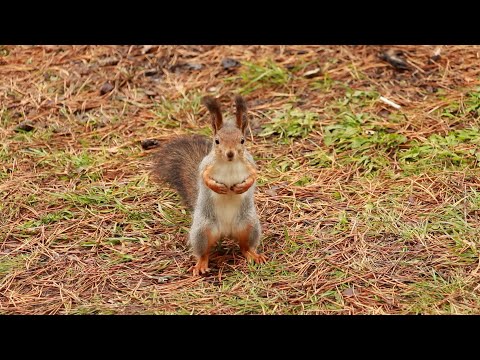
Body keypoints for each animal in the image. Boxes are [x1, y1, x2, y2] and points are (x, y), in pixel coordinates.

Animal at [154, 94, 266, 274]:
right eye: (217, 141)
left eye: (242, 140)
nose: (230, 153)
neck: (229, 164)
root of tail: (226, 232)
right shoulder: (205, 166)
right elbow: (204, 178)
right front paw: (218, 188)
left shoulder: (250, 164)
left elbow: (253, 177)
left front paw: (241, 187)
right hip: (202, 231)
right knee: (204, 252)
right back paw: (201, 264)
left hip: (249, 226)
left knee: (244, 247)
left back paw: (253, 254)